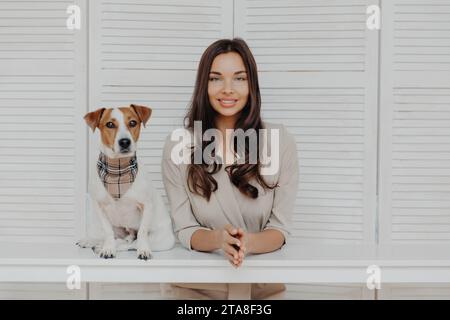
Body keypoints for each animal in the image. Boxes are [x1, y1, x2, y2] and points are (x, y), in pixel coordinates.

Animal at [76, 105, 175, 260]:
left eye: (133, 123)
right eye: (110, 124)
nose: (124, 142)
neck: (118, 170)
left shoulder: (146, 205)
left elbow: (142, 233)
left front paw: (143, 251)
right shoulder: (99, 206)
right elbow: (108, 232)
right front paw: (108, 248)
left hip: (161, 240)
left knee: (131, 243)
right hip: (117, 227)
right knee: (118, 238)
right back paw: (93, 241)